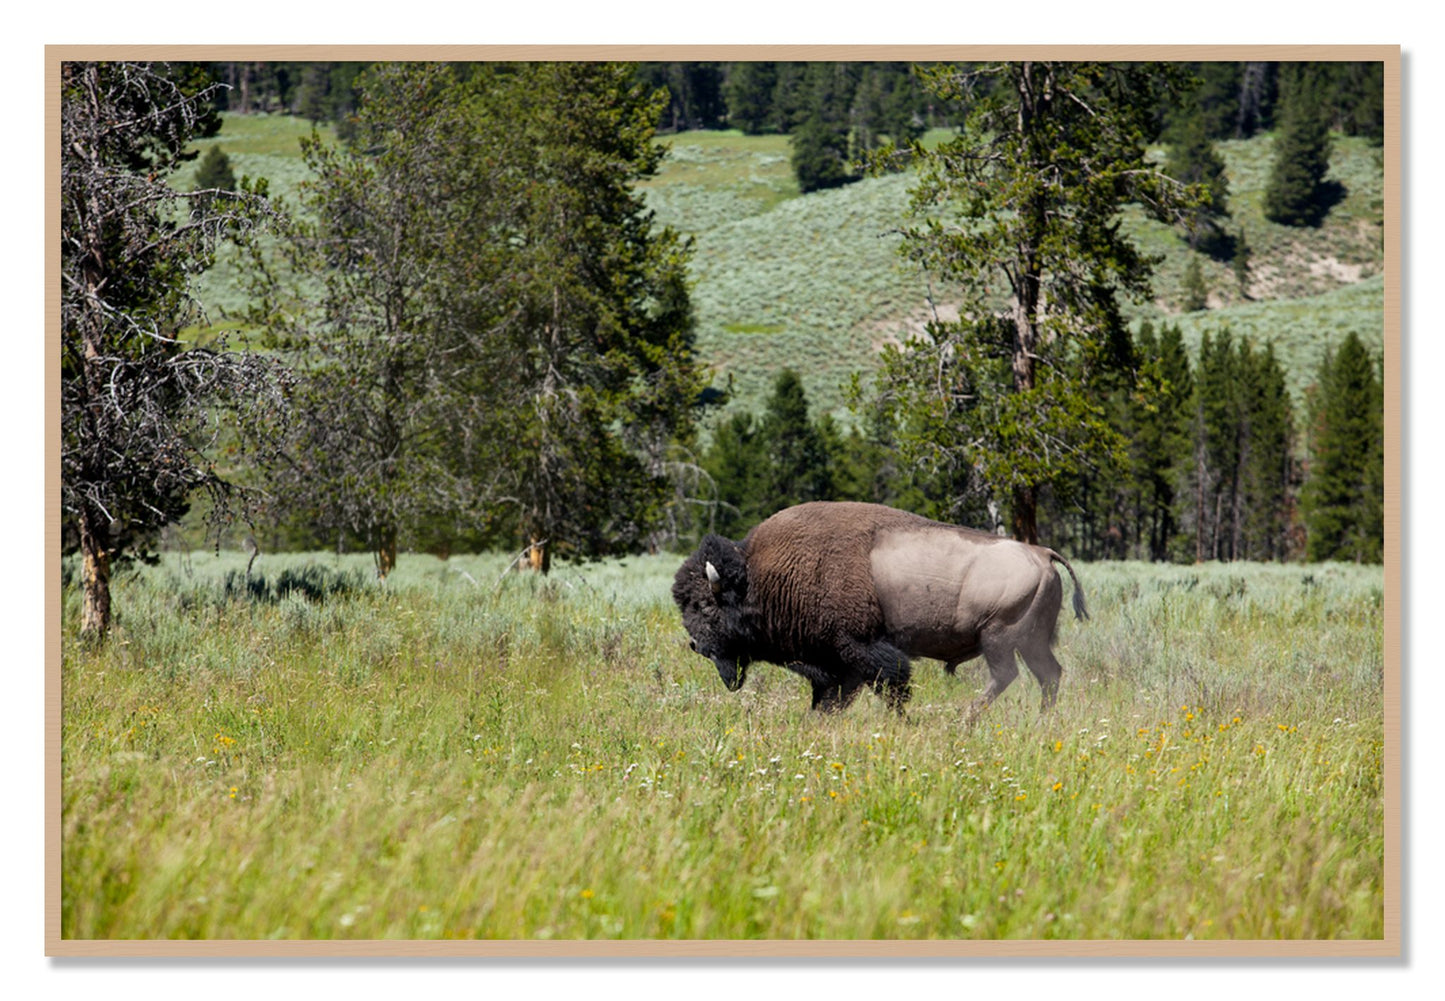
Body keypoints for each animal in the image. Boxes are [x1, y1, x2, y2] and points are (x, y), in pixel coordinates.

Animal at [672, 501, 1088, 722]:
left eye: (705, 606)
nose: (696, 645)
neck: (760, 576)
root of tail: (1042, 553)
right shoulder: (836, 664)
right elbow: (832, 697)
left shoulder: (861, 649)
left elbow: (891, 685)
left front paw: (902, 721)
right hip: (1031, 641)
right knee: (1048, 675)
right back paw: (1041, 720)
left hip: (999, 637)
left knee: (1006, 675)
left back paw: (965, 718)